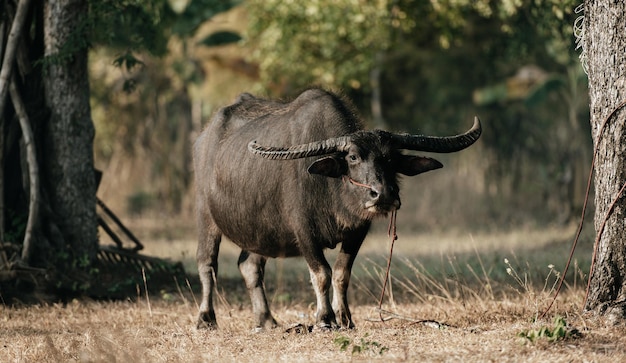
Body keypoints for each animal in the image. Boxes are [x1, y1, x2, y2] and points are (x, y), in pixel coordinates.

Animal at [193, 89, 480, 332]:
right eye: (352, 157)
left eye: (390, 158)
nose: (383, 194)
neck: (331, 190)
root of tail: (204, 138)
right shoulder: (304, 232)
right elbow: (321, 273)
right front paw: (325, 318)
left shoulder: (357, 231)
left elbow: (342, 273)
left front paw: (345, 318)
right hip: (206, 217)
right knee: (207, 265)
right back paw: (206, 319)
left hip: (259, 233)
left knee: (249, 266)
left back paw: (266, 319)